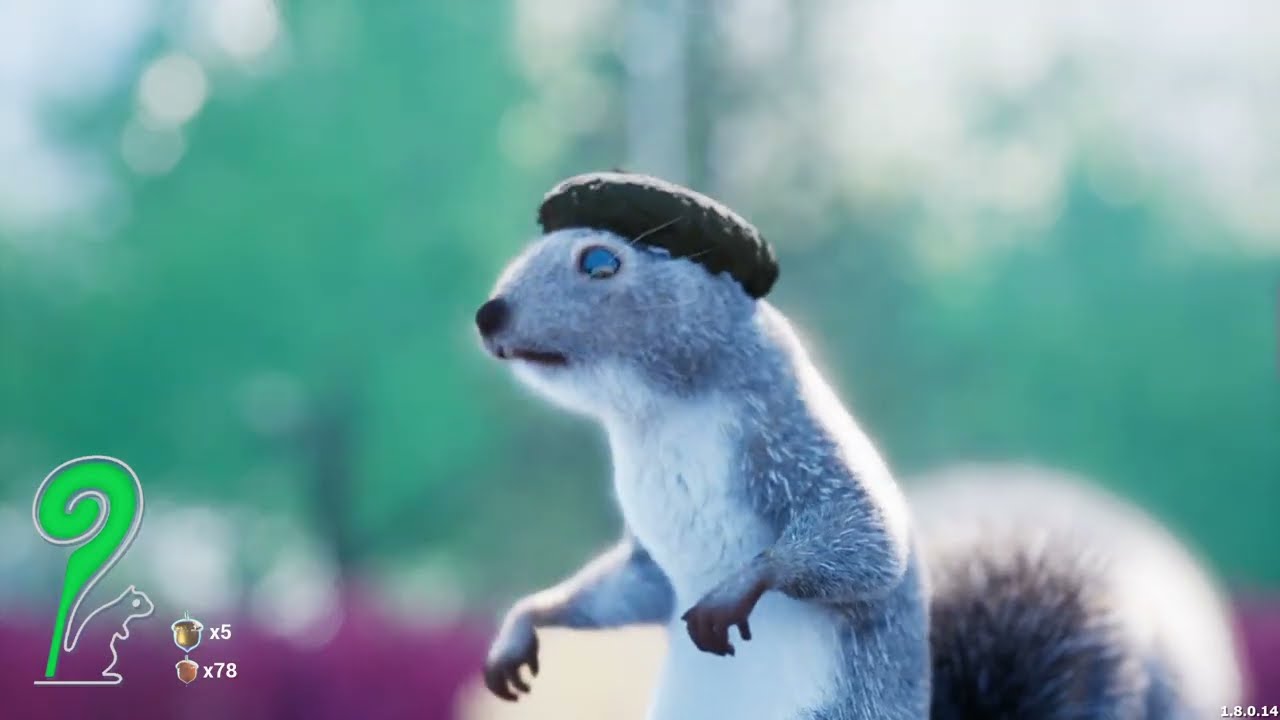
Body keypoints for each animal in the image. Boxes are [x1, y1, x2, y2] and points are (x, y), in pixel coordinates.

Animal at [474, 171, 1243, 719]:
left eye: (601, 261)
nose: (489, 315)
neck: (656, 419)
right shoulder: (654, 549)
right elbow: (639, 582)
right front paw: (524, 622)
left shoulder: (789, 440)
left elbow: (867, 537)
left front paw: (741, 585)